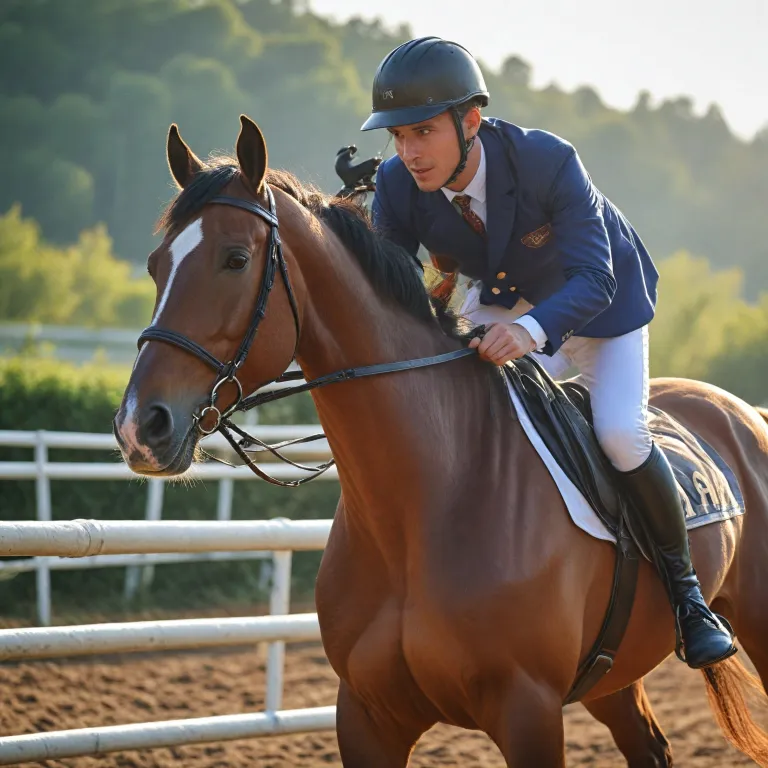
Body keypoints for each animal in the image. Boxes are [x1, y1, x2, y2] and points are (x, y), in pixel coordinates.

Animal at [114, 115, 768, 767]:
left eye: (235, 258)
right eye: (155, 265)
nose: (139, 427)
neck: (423, 505)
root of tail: (741, 411)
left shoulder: (528, 710)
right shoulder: (367, 716)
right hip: (612, 674)